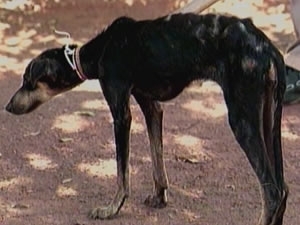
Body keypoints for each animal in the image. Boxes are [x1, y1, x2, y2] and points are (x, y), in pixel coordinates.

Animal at [5, 13, 288, 224]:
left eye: (27, 81)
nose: (7, 106)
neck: (101, 49)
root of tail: (267, 48)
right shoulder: (152, 107)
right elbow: (157, 157)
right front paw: (159, 198)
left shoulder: (121, 114)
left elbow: (122, 171)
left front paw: (111, 209)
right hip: (266, 121)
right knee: (282, 189)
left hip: (243, 121)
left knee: (272, 191)